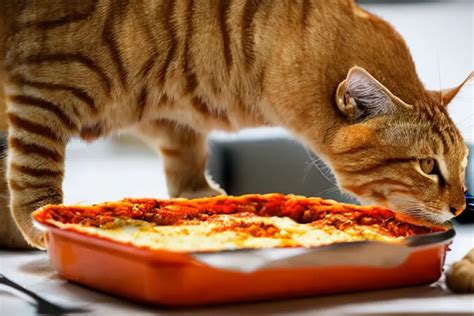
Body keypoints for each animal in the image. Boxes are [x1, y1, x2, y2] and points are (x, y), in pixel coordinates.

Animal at [0, 0, 470, 249]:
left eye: (464, 164)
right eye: (428, 167)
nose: (461, 208)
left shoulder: (160, 113)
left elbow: (187, 154)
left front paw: (199, 198)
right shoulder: (46, 85)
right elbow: (35, 171)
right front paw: (40, 225)